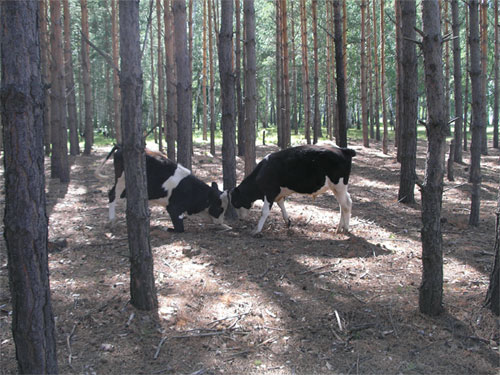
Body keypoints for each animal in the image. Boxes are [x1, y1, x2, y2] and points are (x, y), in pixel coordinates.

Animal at [96, 146, 229, 232]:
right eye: (219, 208)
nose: (220, 222)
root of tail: (120, 147)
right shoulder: (173, 208)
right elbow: (179, 228)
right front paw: (162, 227)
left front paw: (227, 227)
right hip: (121, 180)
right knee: (112, 194)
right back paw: (112, 221)